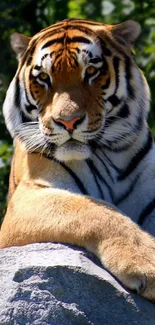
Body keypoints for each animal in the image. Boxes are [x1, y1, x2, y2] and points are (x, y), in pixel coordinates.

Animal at [0, 17, 155, 300]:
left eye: (91, 72)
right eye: (43, 78)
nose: (68, 121)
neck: (111, 154)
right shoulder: (28, 197)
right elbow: (93, 211)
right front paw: (147, 265)